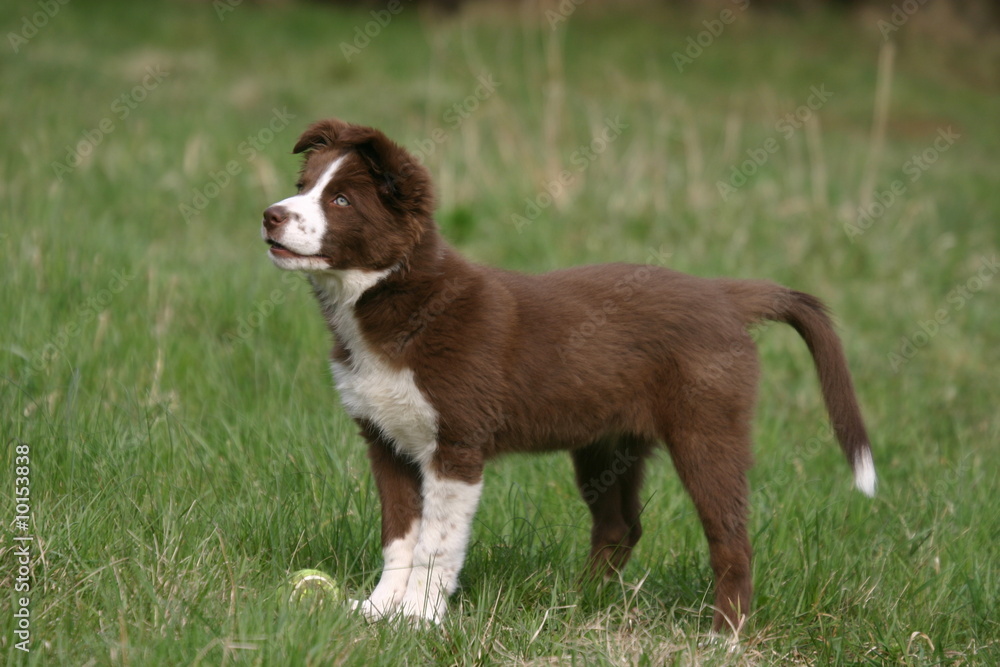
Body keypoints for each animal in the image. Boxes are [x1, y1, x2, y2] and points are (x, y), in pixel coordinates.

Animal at [260, 117, 876, 636]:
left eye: (340, 199)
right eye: (303, 183)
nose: (269, 214)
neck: (392, 304)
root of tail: (724, 295)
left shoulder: (456, 446)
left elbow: (437, 544)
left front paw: (419, 619)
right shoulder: (385, 439)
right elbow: (399, 536)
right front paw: (377, 610)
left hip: (707, 430)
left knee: (731, 539)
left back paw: (724, 634)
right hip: (607, 443)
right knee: (620, 525)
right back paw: (581, 602)